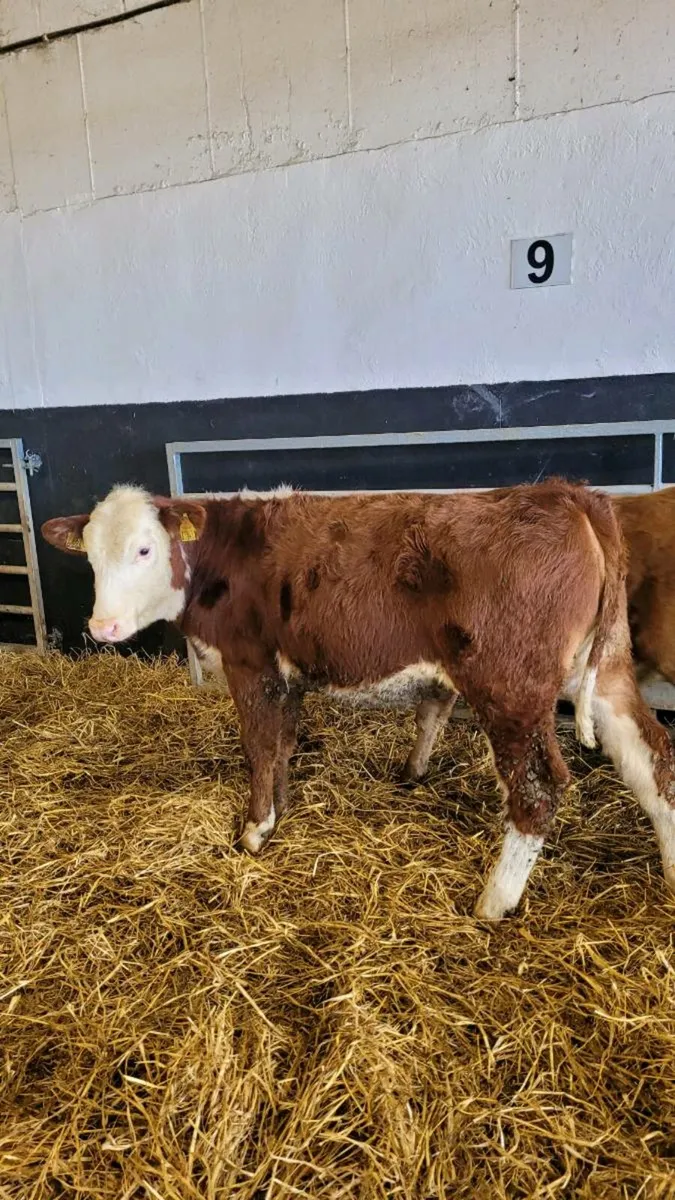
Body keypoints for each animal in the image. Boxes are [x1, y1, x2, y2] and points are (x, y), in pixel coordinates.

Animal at [41, 481, 675, 920]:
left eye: (145, 550)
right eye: (90, 557)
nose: (103, 626)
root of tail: (565, 493)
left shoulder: (251, 664)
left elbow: (258, 746)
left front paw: (254, 832)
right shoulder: (286, 675)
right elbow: (282, 745)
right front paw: (280, 811)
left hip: (510, 685)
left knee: (539, 787)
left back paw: (492, 903)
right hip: (607, 670)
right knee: (651, 757)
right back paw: (670, 868)